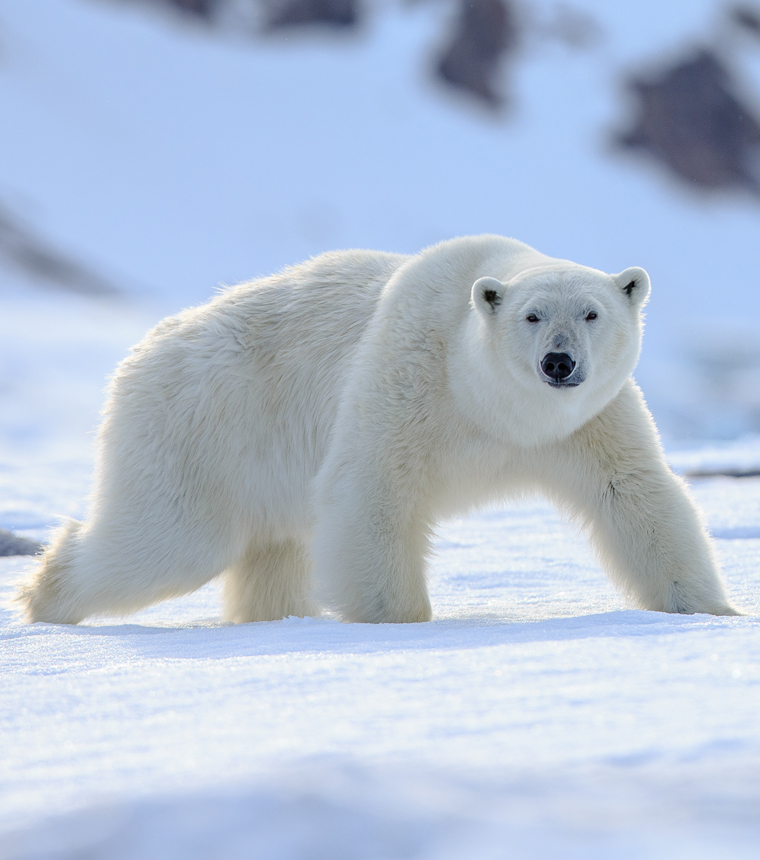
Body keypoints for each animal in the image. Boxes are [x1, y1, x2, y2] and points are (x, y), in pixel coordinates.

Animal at [19, 235, 738, 624]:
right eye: (532, 316)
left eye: (592, 312)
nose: (559, 363)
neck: (490, 405)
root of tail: (144, 350)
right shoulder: (409, 374)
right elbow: (372, 489)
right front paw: (399, 621)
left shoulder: (588, 422)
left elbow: (634, 493)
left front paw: (711, 611)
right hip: (202, 427)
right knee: (167, 540)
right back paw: (44, 597)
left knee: (272, 551)